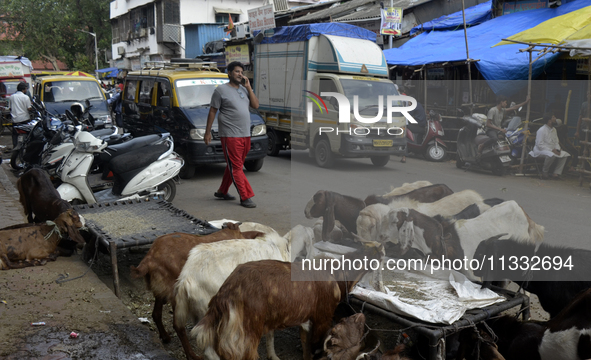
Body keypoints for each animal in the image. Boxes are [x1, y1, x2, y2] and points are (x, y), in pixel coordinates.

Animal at [132, 224, 266, 358]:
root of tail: (150, 258)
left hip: (160, 292)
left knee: (156, 313)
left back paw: (165, 337)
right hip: (176, 294)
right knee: (178, 326)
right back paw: (191, 355)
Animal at [194, 243, 384, 360]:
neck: (337, 275)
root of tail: (225, 292)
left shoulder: (306, 320)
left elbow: (306, 347)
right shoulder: (323, 317)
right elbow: (316, 346)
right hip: (247, 331)